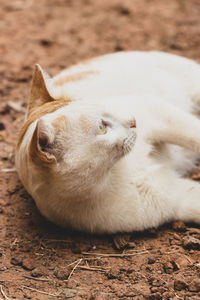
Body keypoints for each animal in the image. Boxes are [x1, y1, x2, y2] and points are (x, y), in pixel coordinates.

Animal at [14, 51, 200, 234]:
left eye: (103, 105)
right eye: (102, 128)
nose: (133, 120)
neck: (112, 174)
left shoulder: (156, 110)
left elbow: (193, 133)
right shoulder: (173, 197)